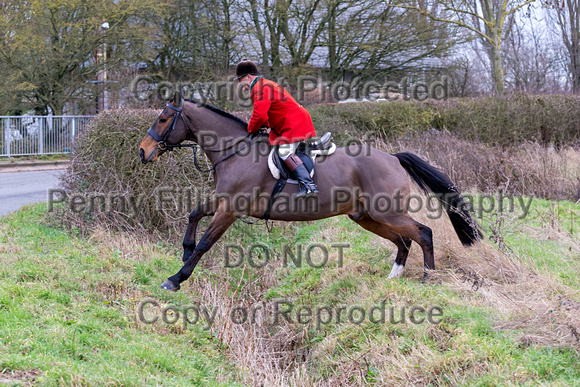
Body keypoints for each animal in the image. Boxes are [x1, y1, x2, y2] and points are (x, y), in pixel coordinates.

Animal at [139, 98, 480, 292]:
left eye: (163, 119)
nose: (143, 151)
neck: (234, 151)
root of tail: (394, 157)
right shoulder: (223, 202)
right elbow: (194, 213)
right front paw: (184, 252)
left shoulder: (230, 209)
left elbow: (206, 243)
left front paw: (176, 278)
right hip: (366, 216)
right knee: (403, 240)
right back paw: (394, 277)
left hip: (387, 212)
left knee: (422, 233)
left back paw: (428, 278)